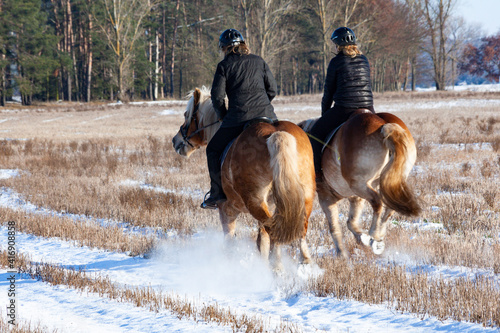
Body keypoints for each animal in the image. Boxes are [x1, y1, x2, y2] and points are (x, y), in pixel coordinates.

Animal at [170, 87, 314, 268]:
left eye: (186, 115)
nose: (175, 140)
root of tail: (274, 133)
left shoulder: (227, 209)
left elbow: (230, 240)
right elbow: (262, 240)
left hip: (255, 201)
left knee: (274, 230)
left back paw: (277, 266)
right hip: (304, 196)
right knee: (296, 228)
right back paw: (304, 261)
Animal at [300, 111, 422, 256]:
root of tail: (384, 126)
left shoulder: (326, 197)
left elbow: (334, 227)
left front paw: (342, 253)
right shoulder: (356, 197)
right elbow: (351, 222)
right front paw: (360, 238)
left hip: (358, 185)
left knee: (377, 202)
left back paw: (374, 235)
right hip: (381, 183)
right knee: (389, 206)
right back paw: (379, 235)